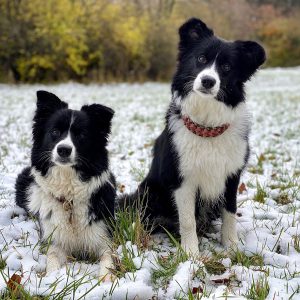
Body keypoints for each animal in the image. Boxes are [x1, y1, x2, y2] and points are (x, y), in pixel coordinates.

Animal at [14, 91, 116, 278]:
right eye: (55, 131)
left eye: (81, 135)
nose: (63, 150)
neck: (69, 199)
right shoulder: (55, 240)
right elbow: (52, 258)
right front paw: (53, 278)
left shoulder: (102, 237)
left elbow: (108, 259)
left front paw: (107, 279)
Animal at [120, 18, 266, 253]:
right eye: (201, 59)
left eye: (227, 67)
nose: (208, 81)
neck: (207, 128)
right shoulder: (182, 179)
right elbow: (188, 220)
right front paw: (191, 253)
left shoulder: (231, 177)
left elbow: (230, 213)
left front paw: (231, 246)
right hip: (149, 193)